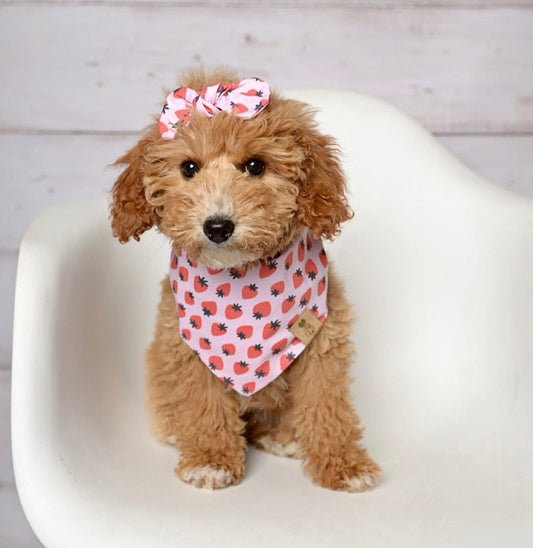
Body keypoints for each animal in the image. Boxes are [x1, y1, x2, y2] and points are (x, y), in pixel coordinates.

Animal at [110, 68, 380, 492]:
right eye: (189, 168)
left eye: (255, 166)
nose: (218, 226)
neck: (240, 280)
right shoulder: (187, 347)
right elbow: (203, 404)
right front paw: (210, 460)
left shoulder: (322, 343)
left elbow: (327, 405)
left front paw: (344, 464)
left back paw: (283, 436)